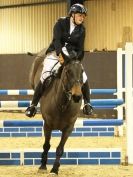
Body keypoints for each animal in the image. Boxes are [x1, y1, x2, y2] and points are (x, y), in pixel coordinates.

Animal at [29, 48, 83, 176]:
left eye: (82, 71)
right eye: (68, 71)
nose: (77, 96)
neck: (62, 104)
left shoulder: (68, 128)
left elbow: (60, 149)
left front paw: (55, 169)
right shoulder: (47, 125)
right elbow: (46, 145)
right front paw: (43, 166)